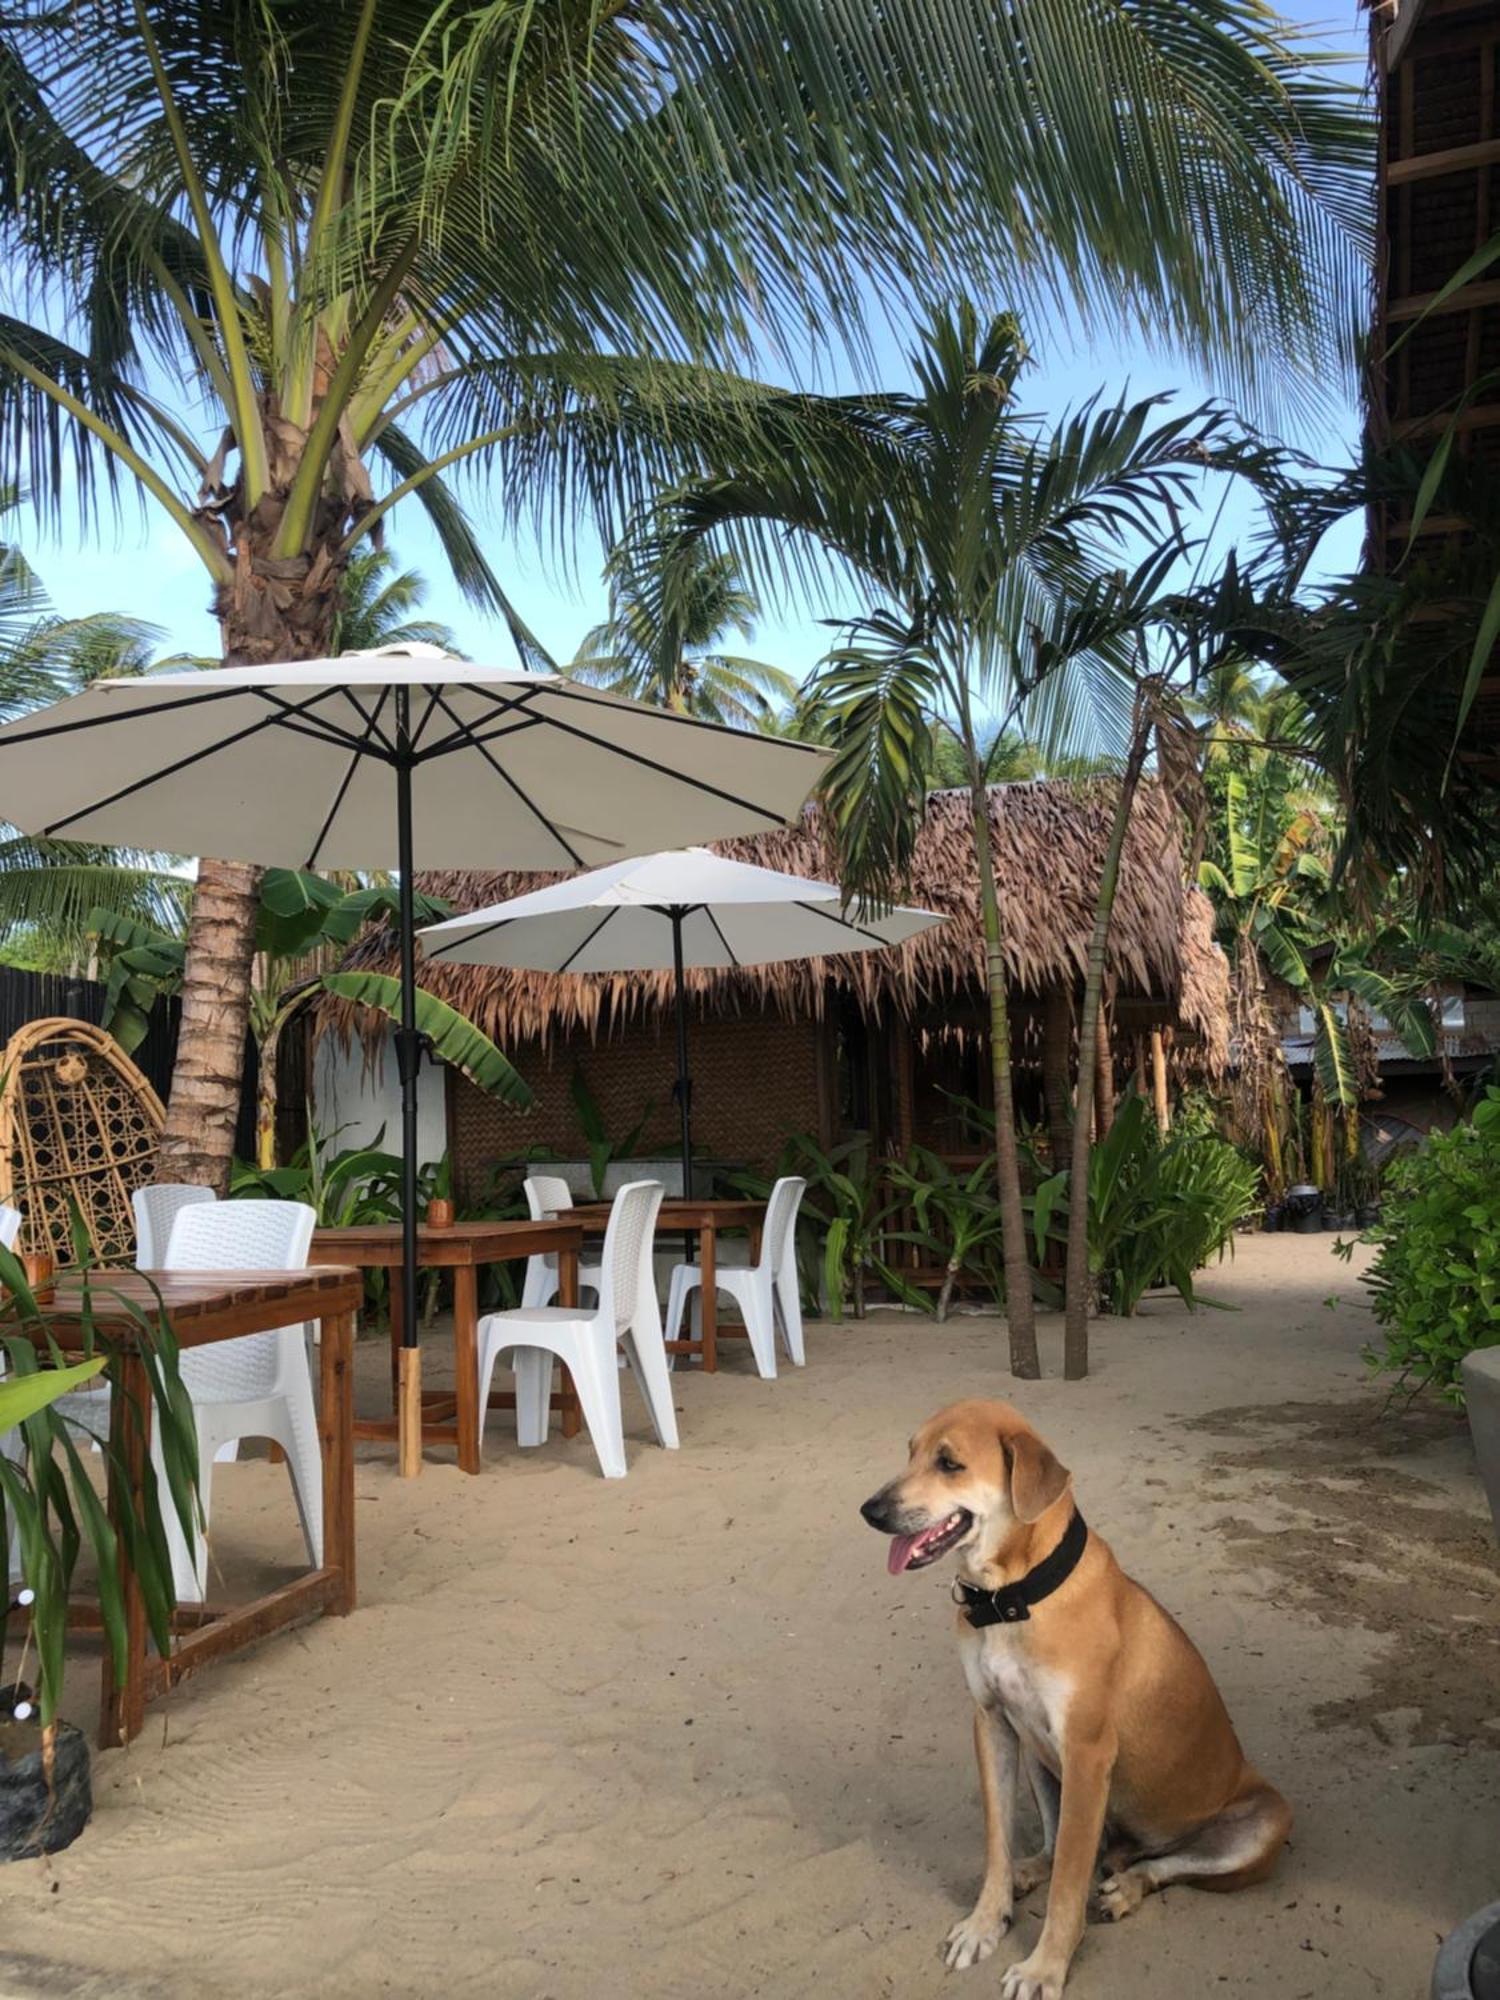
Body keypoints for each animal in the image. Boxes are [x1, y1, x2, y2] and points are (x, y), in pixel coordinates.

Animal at [864, 1400, 1296, 1992]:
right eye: (910, 1452)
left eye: (949, 1463)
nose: (870, 1510)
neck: (1014, 1597)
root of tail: (1131, 1844)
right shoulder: (993, 1724)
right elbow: (999, 1843)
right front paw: (985, 1922)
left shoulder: (1088, 1754)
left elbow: (1070, 1883)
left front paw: (1045, 1966)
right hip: (1041, 1760)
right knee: (1058, 1845)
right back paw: (1032, 1870)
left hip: (1262, 1822)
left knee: (1159, 1866)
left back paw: (1127, 1887)